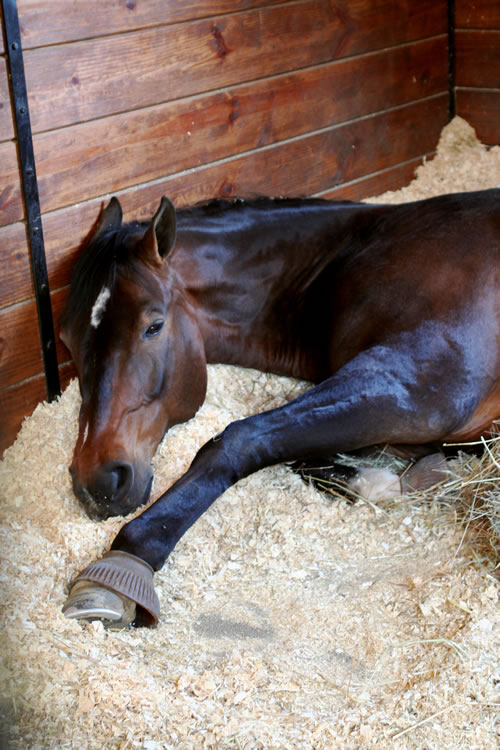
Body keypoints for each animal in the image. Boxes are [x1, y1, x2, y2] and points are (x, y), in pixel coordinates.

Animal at [60, 189, 500, 626]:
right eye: (66, 339)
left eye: (153, 326)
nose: (97, 483)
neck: (352, 257)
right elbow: (298, 456)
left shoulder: (418, 389)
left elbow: (238, 440)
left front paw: (127, 560)